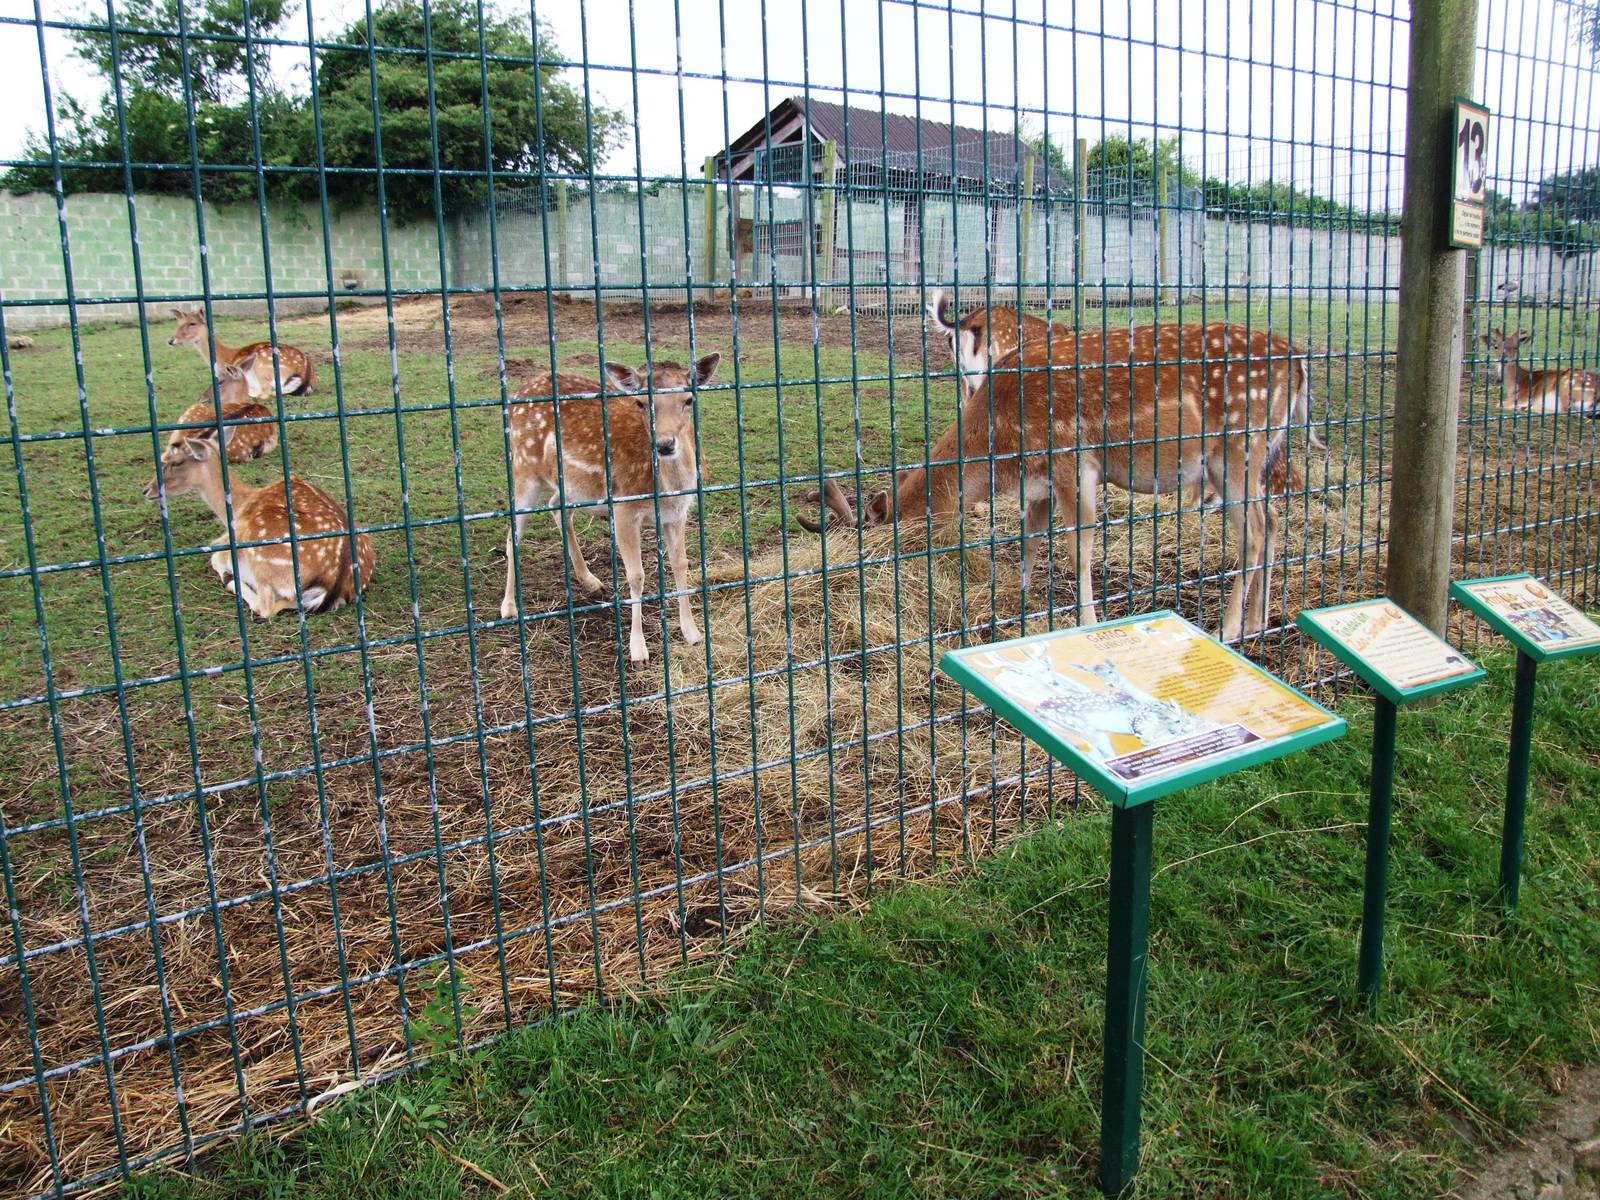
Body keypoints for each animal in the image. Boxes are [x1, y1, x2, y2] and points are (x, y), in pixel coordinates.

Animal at [143, 425, 373, 619]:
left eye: (176, 462)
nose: (146, 490)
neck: (239, 506)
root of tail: (336, 581)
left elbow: (215, 558)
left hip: (262, 558)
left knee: (266, 606)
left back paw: (232, 582)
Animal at [168, 309, 317, 397]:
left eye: (192, 323)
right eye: (178, 323)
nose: (171, 340)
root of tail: (305, 374)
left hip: (262, 366)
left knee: (265, 392)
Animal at [499, 354, 719, 665]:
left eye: (688, 399)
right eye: (640, 403)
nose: (664, 445)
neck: (666, 487)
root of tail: (519, 393)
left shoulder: (678, 513)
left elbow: (681, 564)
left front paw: (693, 632)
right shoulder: (625, 510)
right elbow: (637, 576)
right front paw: (638, 650)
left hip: (572, 486)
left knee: (556, 507)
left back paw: (590, 580)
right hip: (523, 468)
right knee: (513, 533)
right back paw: (509, 606)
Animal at [798, 323, 1310, 643]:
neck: (1001, 446)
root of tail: (1300, 362)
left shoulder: (1071, 461)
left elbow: (1078, 549)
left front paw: (1087, 620)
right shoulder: (1038, 482)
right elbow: (1029, 539)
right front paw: (1017, 597)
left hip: (1239, 447)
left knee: (1254, 532)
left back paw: (1228, 629)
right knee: (1273, 521)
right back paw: (1260, 622)